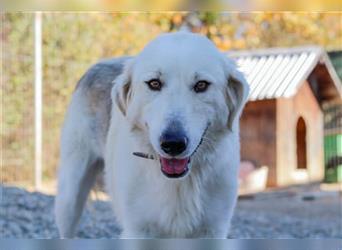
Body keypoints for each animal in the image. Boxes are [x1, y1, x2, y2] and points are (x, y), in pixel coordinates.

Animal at [54, 31, 250, 238]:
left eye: (202, 85)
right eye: (154, 83)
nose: (173, 143)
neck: (177, 183)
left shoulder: (213, 229)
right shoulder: (138, 229)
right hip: (69, 197)